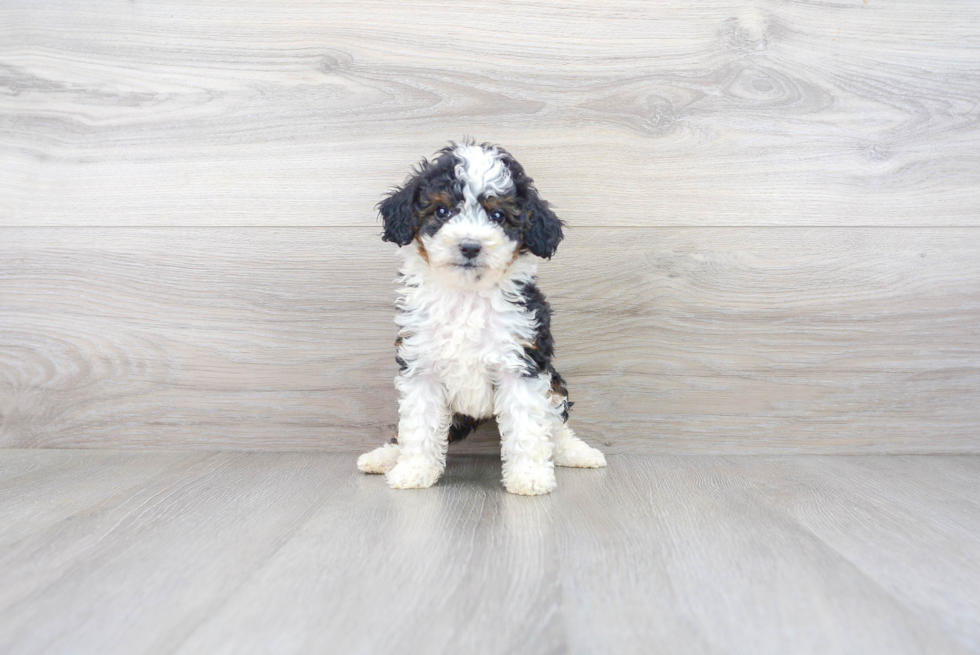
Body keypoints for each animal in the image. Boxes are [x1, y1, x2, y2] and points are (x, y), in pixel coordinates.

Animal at [358, 141, 604, 494]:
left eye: (497, 215)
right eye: (443, 212)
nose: (470, 246)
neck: (467, 295)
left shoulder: (522, 364)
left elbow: (528, 427)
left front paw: (529, 476)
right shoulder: (421, 368)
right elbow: (418, 426)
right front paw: (414, 471)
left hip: (553, 380)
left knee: (555, 423)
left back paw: (578, 452)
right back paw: (384, 457)